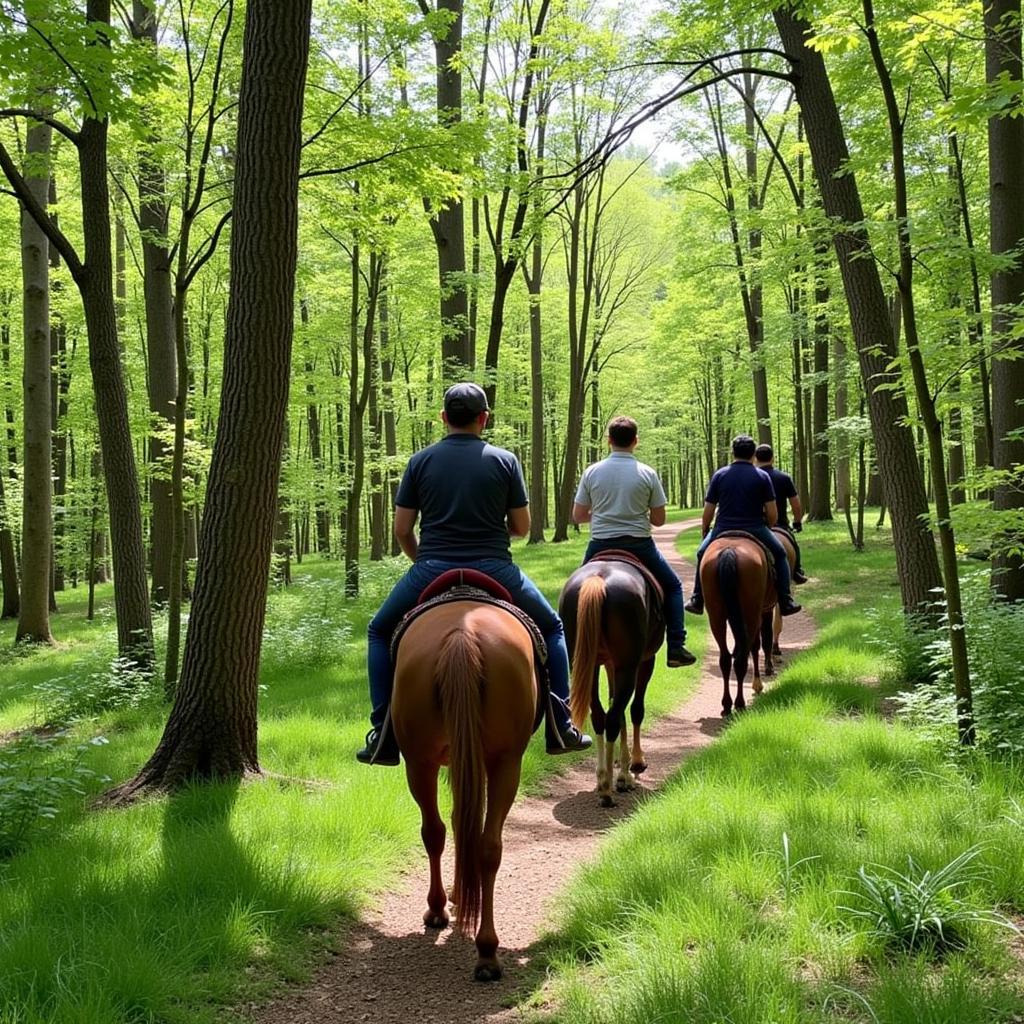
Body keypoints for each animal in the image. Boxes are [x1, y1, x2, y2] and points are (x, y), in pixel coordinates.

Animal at [389, 598, 536, 983]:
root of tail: (462, 635)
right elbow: (463, 822)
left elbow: (454, 823)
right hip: (504, 761)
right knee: (486, 844)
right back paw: (485, 950)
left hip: (421, 763)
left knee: (435, 832)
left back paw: (441, 913)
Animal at [561, 561, 663, 806]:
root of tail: (598, 579)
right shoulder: (645, 661)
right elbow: (635, 710)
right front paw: (633, 766)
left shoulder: (608, 663)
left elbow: (614, 703)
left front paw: (623, 769)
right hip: (628, 665)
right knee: (614, 716)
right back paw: (608, 787)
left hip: (586, 664)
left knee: (600, 715)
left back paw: (602, 778)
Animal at [700, 540, 770, 716]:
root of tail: (729, 551)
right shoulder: (760, 613)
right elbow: (756, 645)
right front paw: (757, 684)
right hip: (750, 614)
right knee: (741, 658)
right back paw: (739, 703)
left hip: (716, 616)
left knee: (725, 659)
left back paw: (726, 704)